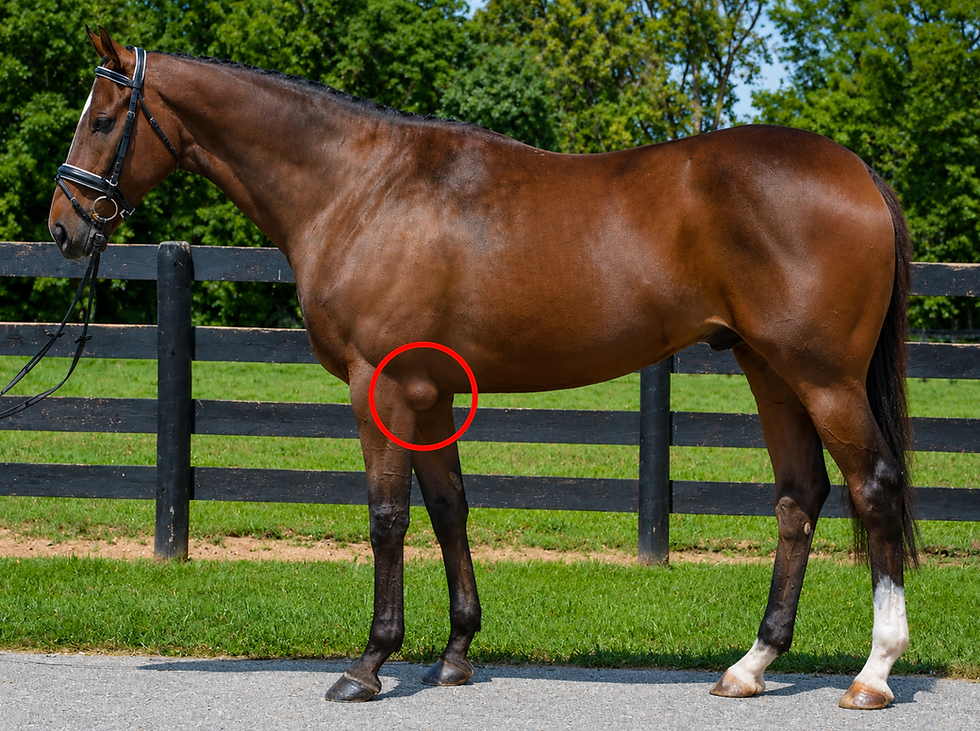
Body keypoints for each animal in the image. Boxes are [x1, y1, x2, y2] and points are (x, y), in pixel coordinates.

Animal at [49, 27, 918, 710]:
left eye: (103, 118)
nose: (63, 226)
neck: (360, 189)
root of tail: (858, 172)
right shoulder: (431, 394)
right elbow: (449, 509)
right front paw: (456, 654)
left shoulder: (381, 386)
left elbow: (387, 517)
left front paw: (368, 663)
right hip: (770, 371)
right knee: (799, 496)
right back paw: (751, 664)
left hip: (823, 378)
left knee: (874, 487)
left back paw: (873, 673)